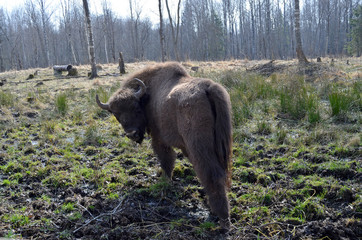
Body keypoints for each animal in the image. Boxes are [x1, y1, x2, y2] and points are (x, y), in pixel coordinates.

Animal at [96, 61, 232, 229]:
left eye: (136, 107)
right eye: (116, 114)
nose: (131, 134)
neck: (148, 94)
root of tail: (208, 87)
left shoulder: (159, 139)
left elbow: (166, 160)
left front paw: (165, 181)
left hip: (199, 146)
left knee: (211, 174)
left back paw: (223, 219)